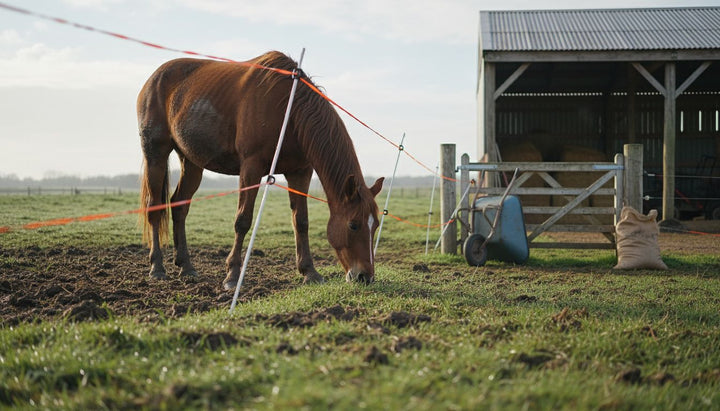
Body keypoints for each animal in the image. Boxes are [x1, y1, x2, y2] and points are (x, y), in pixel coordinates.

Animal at [137, 51, 384, 289]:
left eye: (376, 225)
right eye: (353, 225)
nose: (365, 276)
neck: (288, 110)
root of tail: (153, 79)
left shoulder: (300, 172)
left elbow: (301, 221)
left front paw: (309, 272)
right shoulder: (251, 168)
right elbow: (243, 220)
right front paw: (233, 275)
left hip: (191, 162)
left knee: (180, 206)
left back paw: (186, 266)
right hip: (155, 154)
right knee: (154, 207)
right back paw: (157, 267)